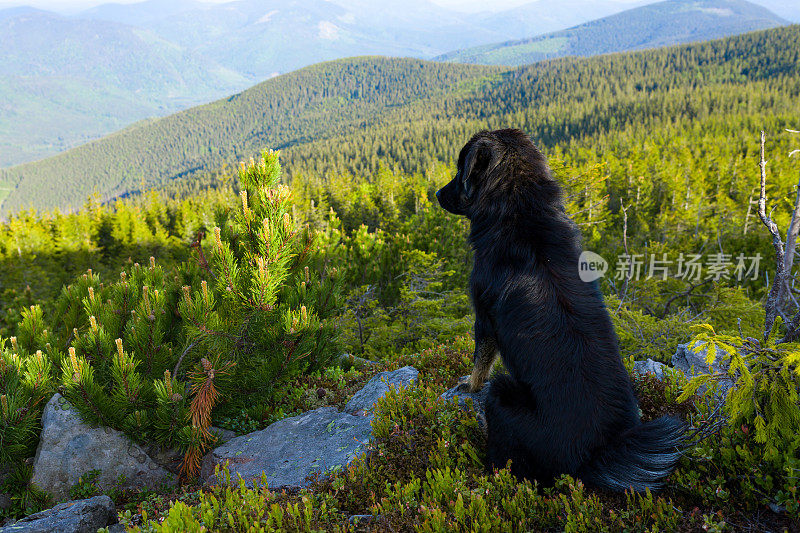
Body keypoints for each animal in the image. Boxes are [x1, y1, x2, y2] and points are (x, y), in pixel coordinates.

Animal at [434, 129, 684, 490]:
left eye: (459, 171)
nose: (437, 194)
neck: (520, 210)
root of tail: (595, 454)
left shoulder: (484, 318)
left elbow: (481, 360)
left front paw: (469, 384)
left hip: (502, 394)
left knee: (507, 463)